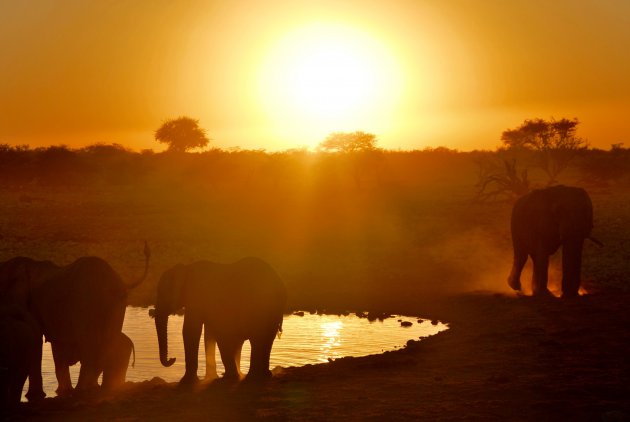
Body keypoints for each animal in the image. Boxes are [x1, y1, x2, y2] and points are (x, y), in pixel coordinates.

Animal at [0, 244, 150, 398]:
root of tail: (116, 280)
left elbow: (38, 341)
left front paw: (38, 396)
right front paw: (61, 392)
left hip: (86, 301)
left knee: (90, 345)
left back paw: (82, 389)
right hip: (116, 305)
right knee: (108, 344)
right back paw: (98, 388)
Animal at [156, 256, 286, 384]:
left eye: (161, 293)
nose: (172, 358)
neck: (186, 268)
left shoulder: (196, 296)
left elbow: (191, 330)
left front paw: (186, 381)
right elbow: (208, 333)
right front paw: (211, 377)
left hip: (259, 306)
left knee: (256, 339)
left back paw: (249, 377)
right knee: (266, 339)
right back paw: (263, 376)